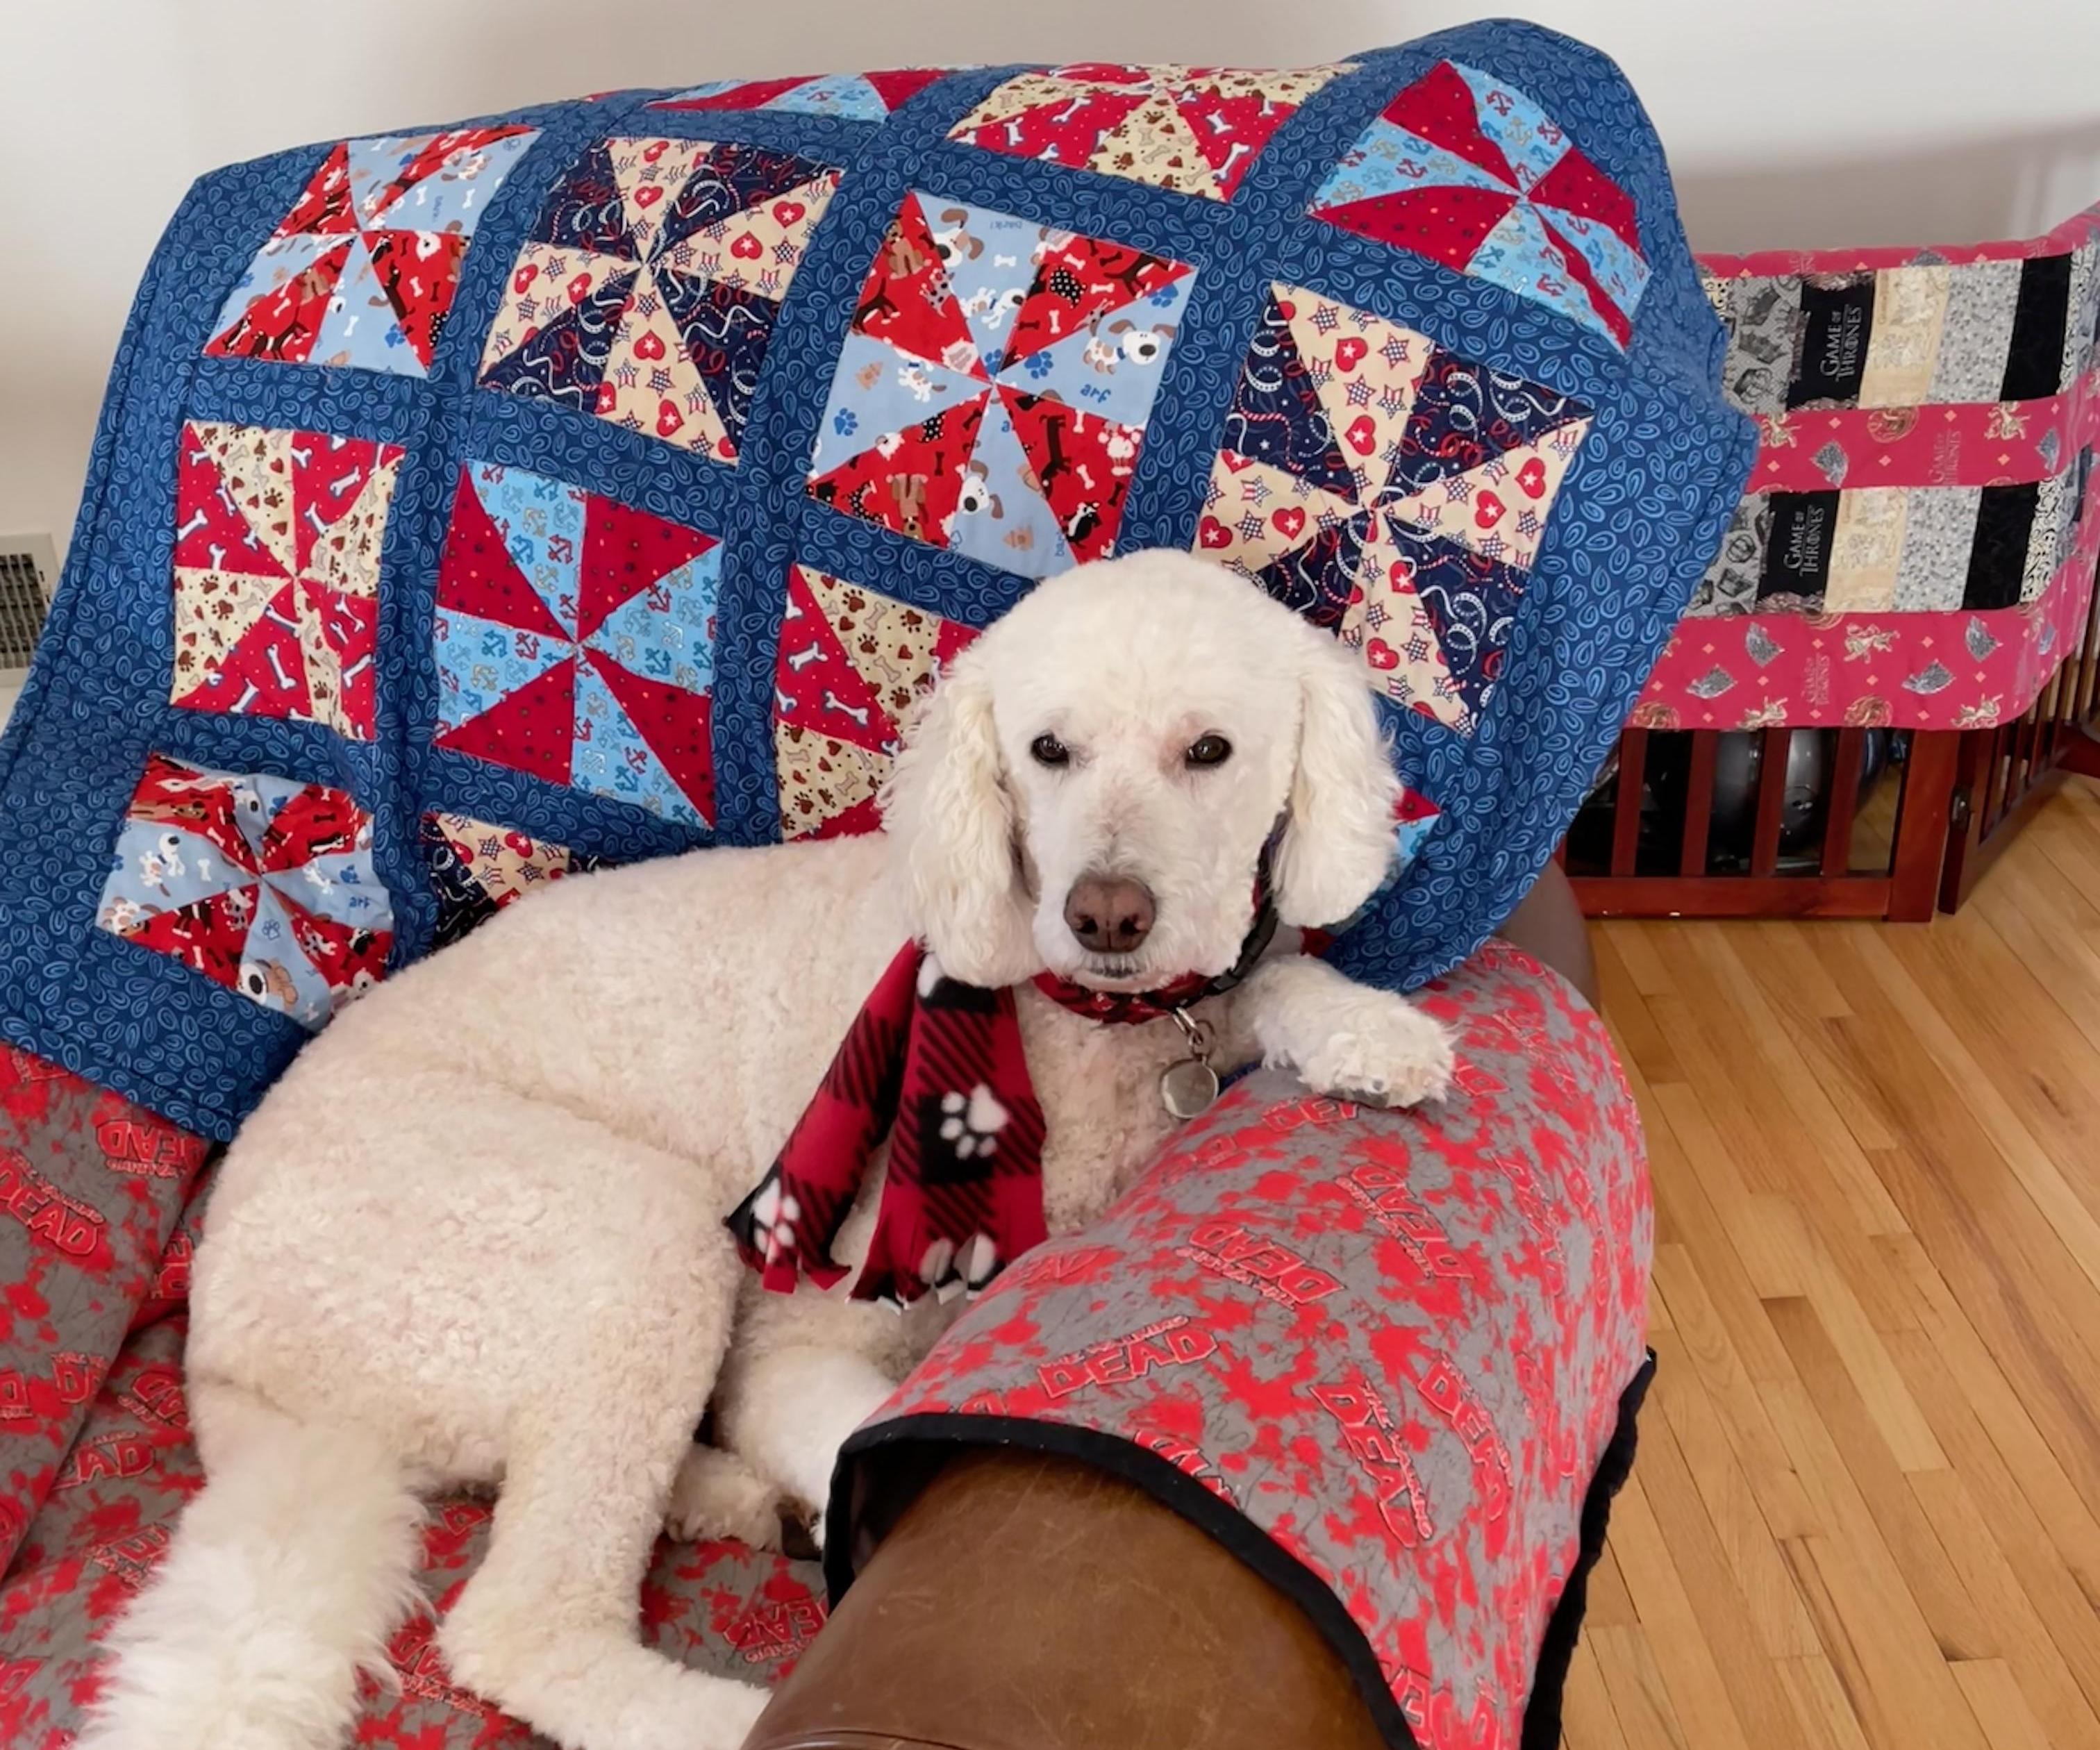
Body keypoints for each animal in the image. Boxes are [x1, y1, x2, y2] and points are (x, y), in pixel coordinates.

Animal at [85, 554, 1461, 1747]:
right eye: (1047, 751)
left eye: (1209, 751)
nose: (1104, 914)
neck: (1079, 1024)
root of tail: (221, 1345)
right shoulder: (790, 1342)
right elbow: (863, 1426)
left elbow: (1272, 979)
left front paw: (1367, 1029)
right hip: (621, 1246)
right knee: (520, 1623)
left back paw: (734, 1498)